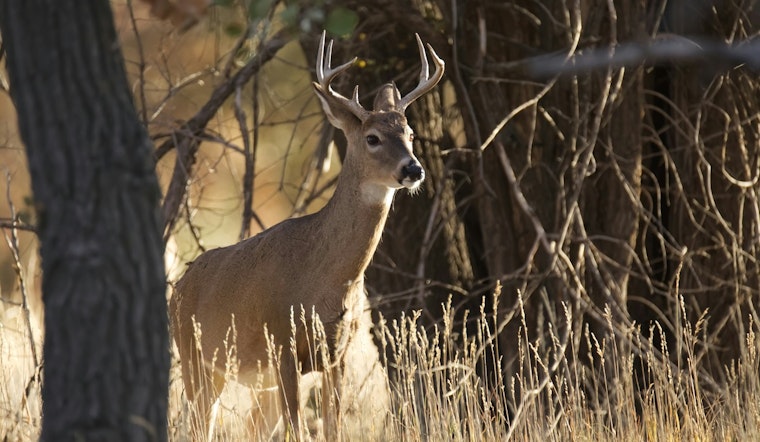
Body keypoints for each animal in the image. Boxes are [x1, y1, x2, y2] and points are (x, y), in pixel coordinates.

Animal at [170, 31, 444, 440]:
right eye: (373, 138)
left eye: (410, 134)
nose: (413, 169)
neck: (325, 282)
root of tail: (178, 287)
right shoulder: (282, 341)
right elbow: (298, 429)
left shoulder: (337, 354)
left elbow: (333, 428)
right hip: (196, 358)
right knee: (198, 425)